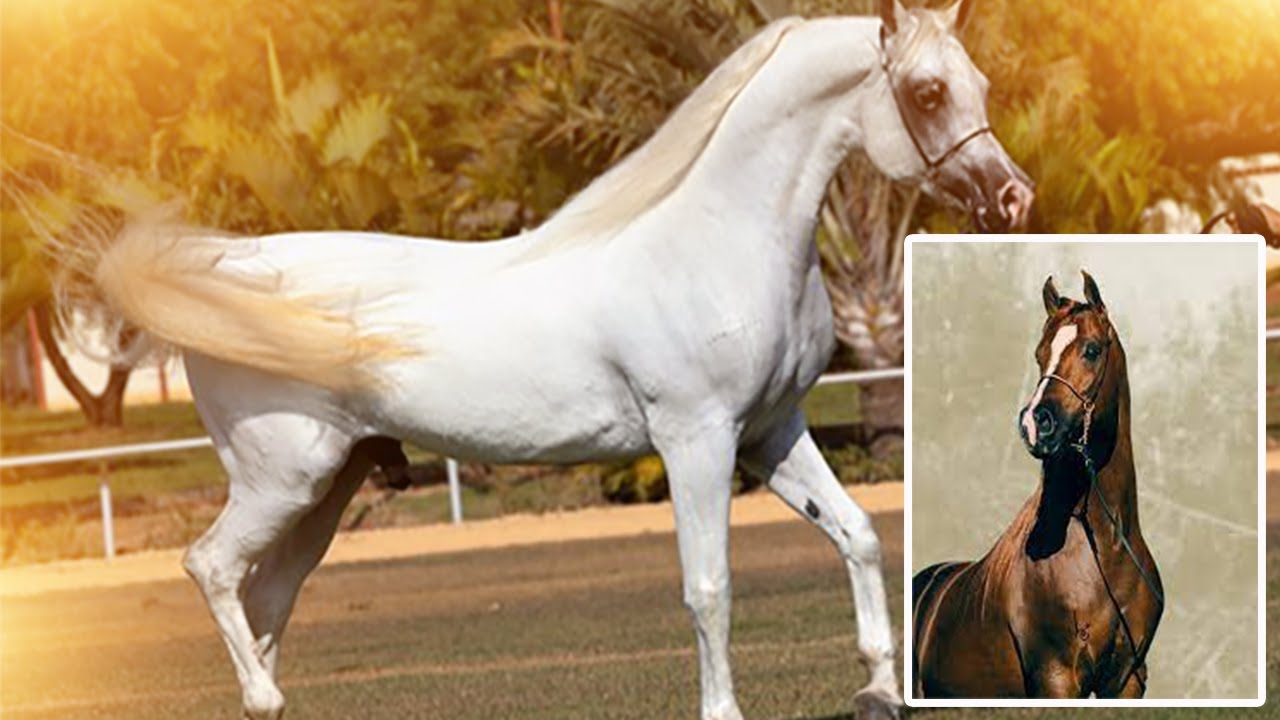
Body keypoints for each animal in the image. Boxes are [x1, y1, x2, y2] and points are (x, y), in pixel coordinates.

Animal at [73, 2, 1031, 718]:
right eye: (928, 90)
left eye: (983, 82)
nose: (1012, 198)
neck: (715, 240)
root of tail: (226, 271)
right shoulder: (697, 441)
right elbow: (709, 586)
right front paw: (725, 708)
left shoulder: (772, 433)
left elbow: (859, 534)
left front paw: (878, 688)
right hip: (283, 479)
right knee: (212, 569)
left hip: (327, 489)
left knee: (266, 598)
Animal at [911, 272, 1163, 699]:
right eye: (1039, 354)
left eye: (1092, 350)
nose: (1034, 423)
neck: (1105, 550)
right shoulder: (1056, 677)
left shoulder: (1128, 679)